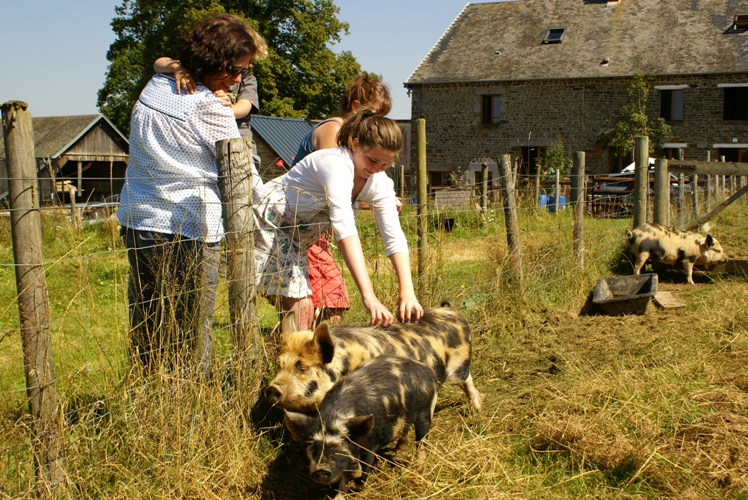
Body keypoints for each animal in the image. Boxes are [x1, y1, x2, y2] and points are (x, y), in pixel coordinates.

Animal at [266, 304, 482, 414]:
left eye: (302, 368)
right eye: (279, 365)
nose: (272, 388)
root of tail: (452, 312)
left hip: (460, 366)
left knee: (468, 379)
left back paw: (477, 408)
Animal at [284, 356, 442, 496]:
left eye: (339, 447)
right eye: (313, 446)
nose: (321, 469)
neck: (334, 417)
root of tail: (427, 370)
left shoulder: (370, 443)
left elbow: (365, 467)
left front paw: (357, 481)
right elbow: (340, 480)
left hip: (425, 409)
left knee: (422, 438)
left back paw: (419, 466)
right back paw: (398, 448)